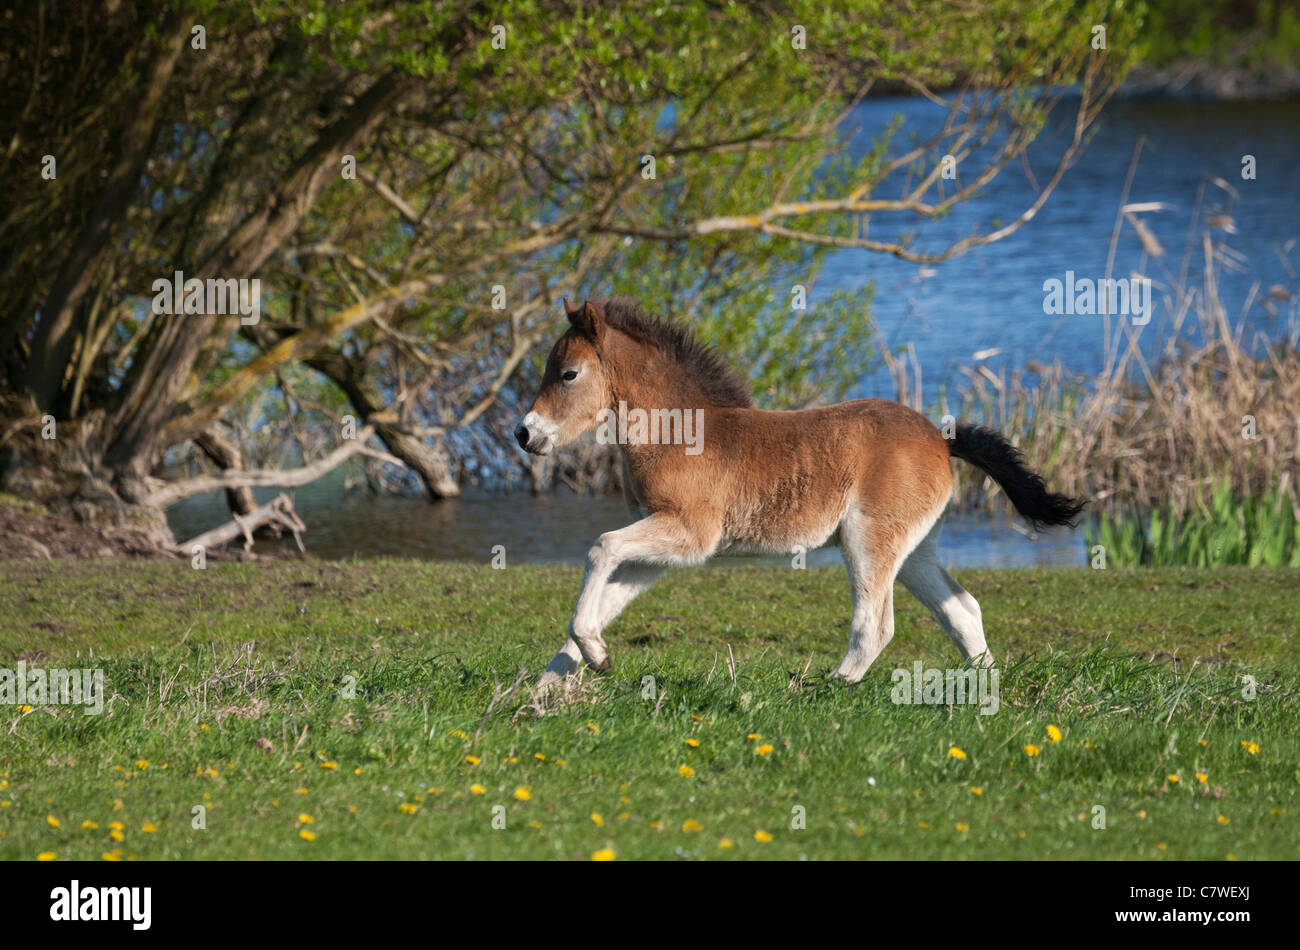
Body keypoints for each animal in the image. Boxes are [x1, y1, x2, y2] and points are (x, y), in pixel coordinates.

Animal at [515, 297, 1084, 688]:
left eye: (568, 374)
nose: (525, 433)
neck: (682, 432)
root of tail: (940, 439)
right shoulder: (661, 548)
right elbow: (607, 592)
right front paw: (551, 683)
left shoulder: (690, 533)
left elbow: (601, 547)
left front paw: (590, 659)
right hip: (916, 549)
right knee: (962, 610)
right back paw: (983, 686)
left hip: (868, 538)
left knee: (875, 624)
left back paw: (825, 687)